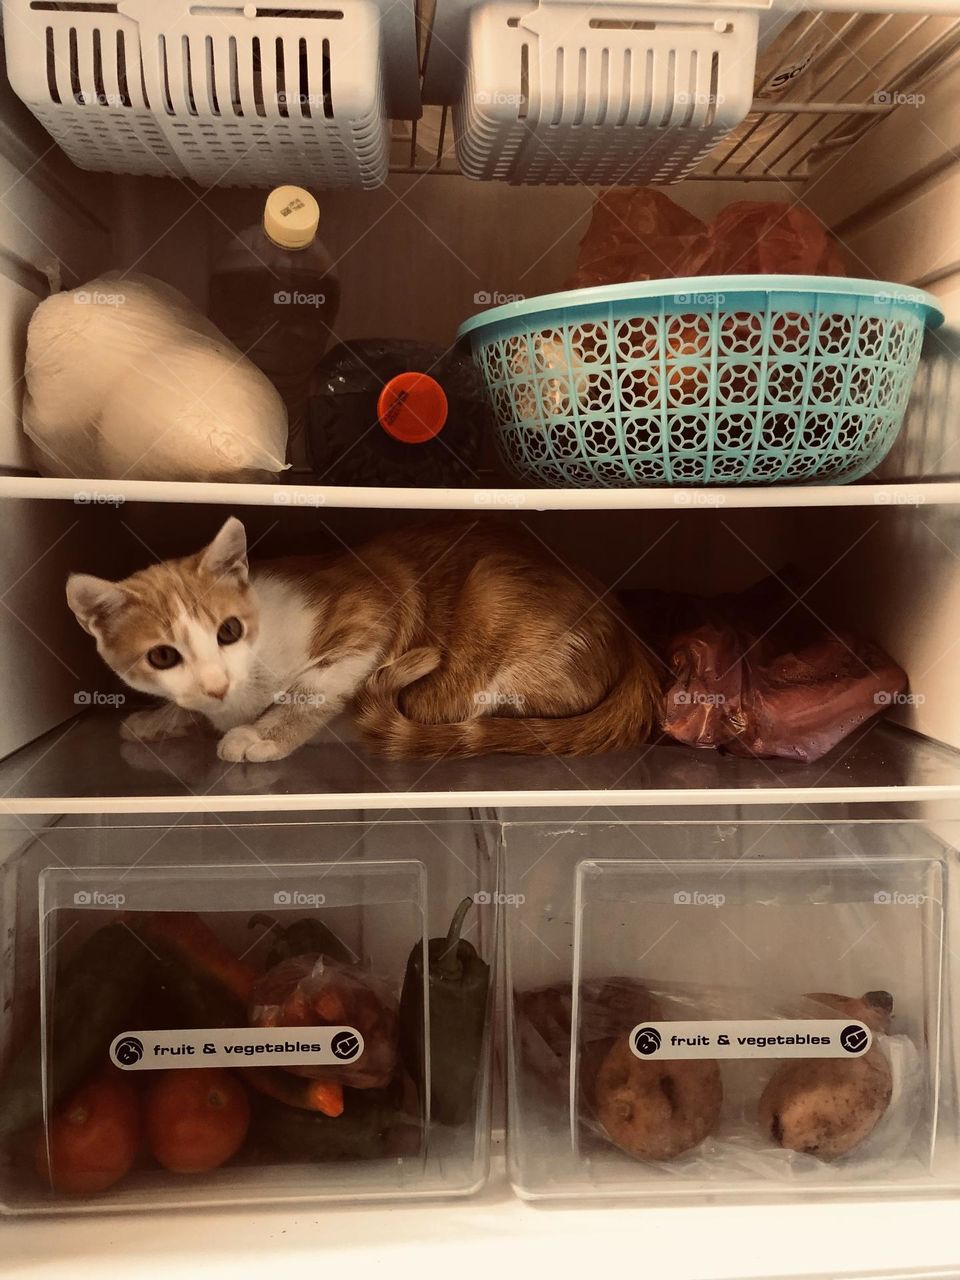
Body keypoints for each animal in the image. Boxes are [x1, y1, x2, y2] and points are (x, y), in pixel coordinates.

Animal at [64, 517, 660, 757]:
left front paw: (262, 735)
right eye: (163, 656)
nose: (214, 684)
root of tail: (634, 638)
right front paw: (158, 719)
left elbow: (313, 689)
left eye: (228, 631)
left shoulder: (369, 613)